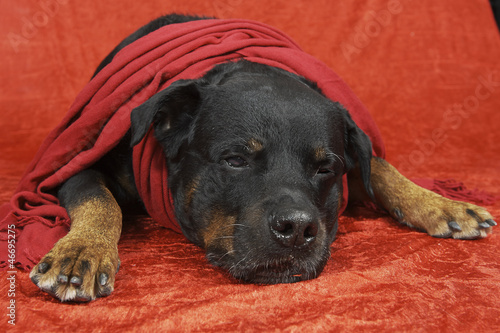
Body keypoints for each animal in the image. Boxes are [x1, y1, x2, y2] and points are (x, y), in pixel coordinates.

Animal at [29, 14, 494, 300]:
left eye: (326, 168)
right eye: (235, 160)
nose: (297, 229)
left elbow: (377, 163)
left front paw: (440, 204)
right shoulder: (79, 165)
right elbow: (99, 199)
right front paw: (83, 251)